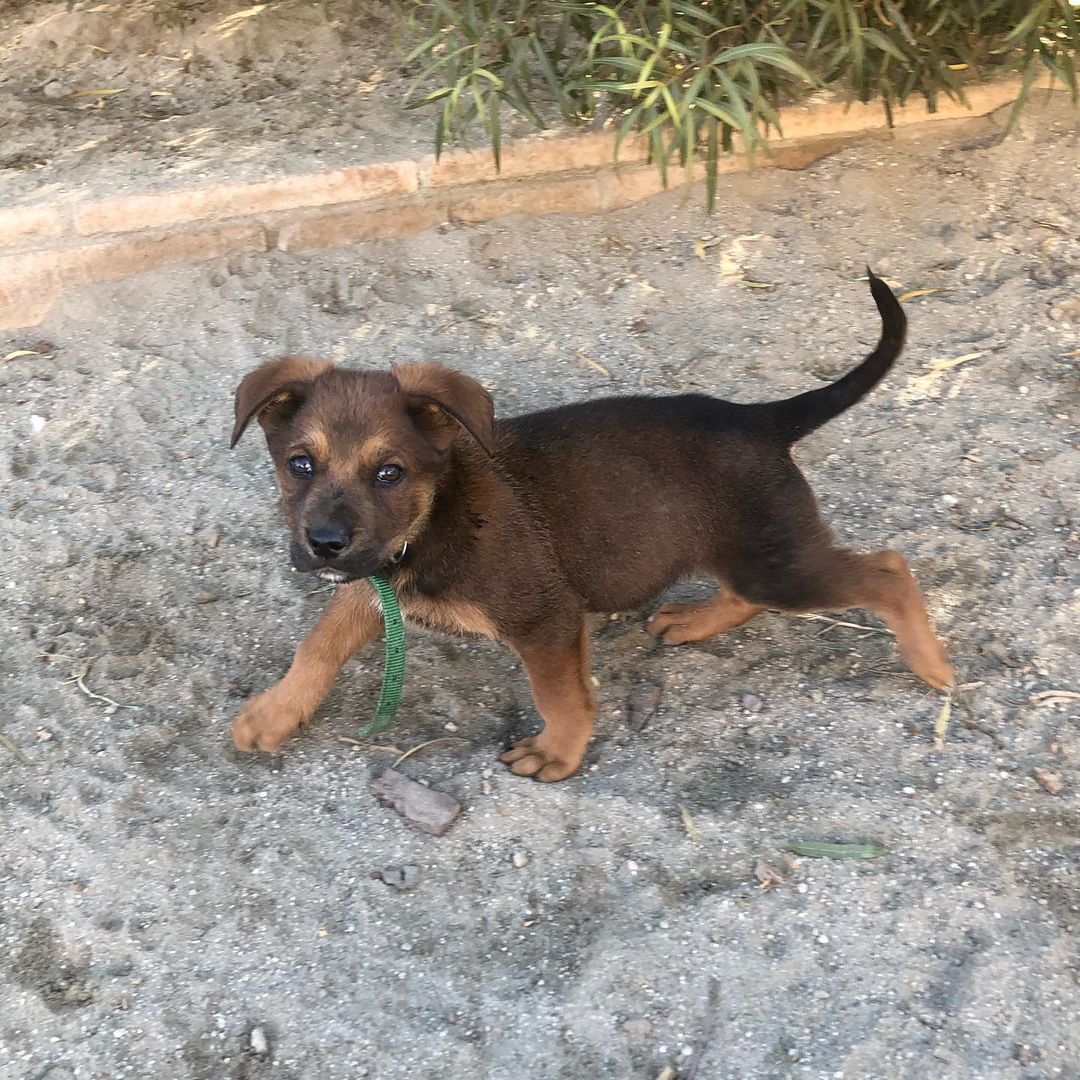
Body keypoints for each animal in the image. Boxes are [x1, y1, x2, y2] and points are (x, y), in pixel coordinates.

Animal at [230, 268, 954, 777]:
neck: (433, 518)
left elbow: (559, 695)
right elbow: (317, 645)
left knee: (887, 570)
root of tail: (761, 420)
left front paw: (558, 752)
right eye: (299, 465)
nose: (324, 544)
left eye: (389, 473)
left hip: (776, 561)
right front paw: (275, 711)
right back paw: (694, 620)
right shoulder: (370, 582)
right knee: (754, 591)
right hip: (753, 551)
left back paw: (932, 664)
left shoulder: (544, 617)